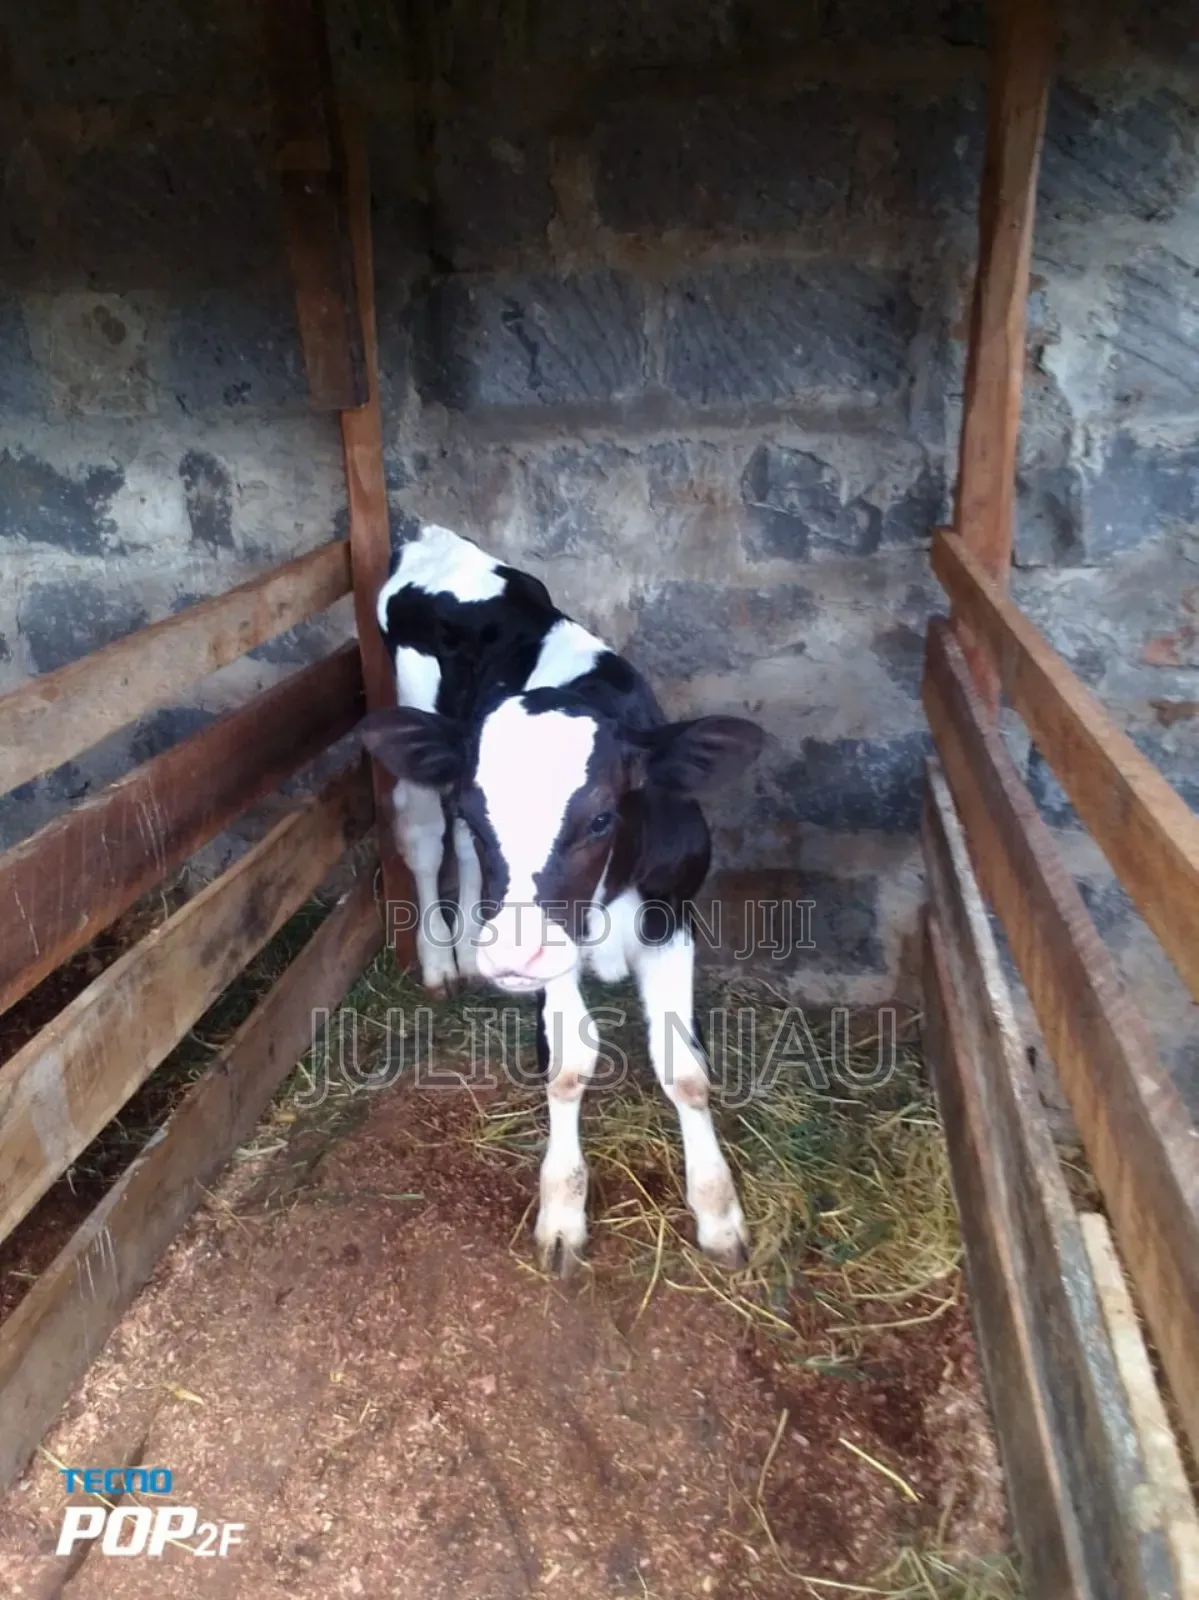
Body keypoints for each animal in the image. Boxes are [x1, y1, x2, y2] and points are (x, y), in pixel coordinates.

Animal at [358, 523, 765, 1274]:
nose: (512, 957)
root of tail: (431, 536)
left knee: (463, 856)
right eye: (482, 807)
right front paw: (562, 1211)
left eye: (602, 817)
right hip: (418, 731)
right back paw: (441, 960)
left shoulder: (671, 914)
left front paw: (719, 1213)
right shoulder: (556, 952)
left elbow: (684, 1071)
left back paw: (469, 951)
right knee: (428, 840)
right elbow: (571, 1065)